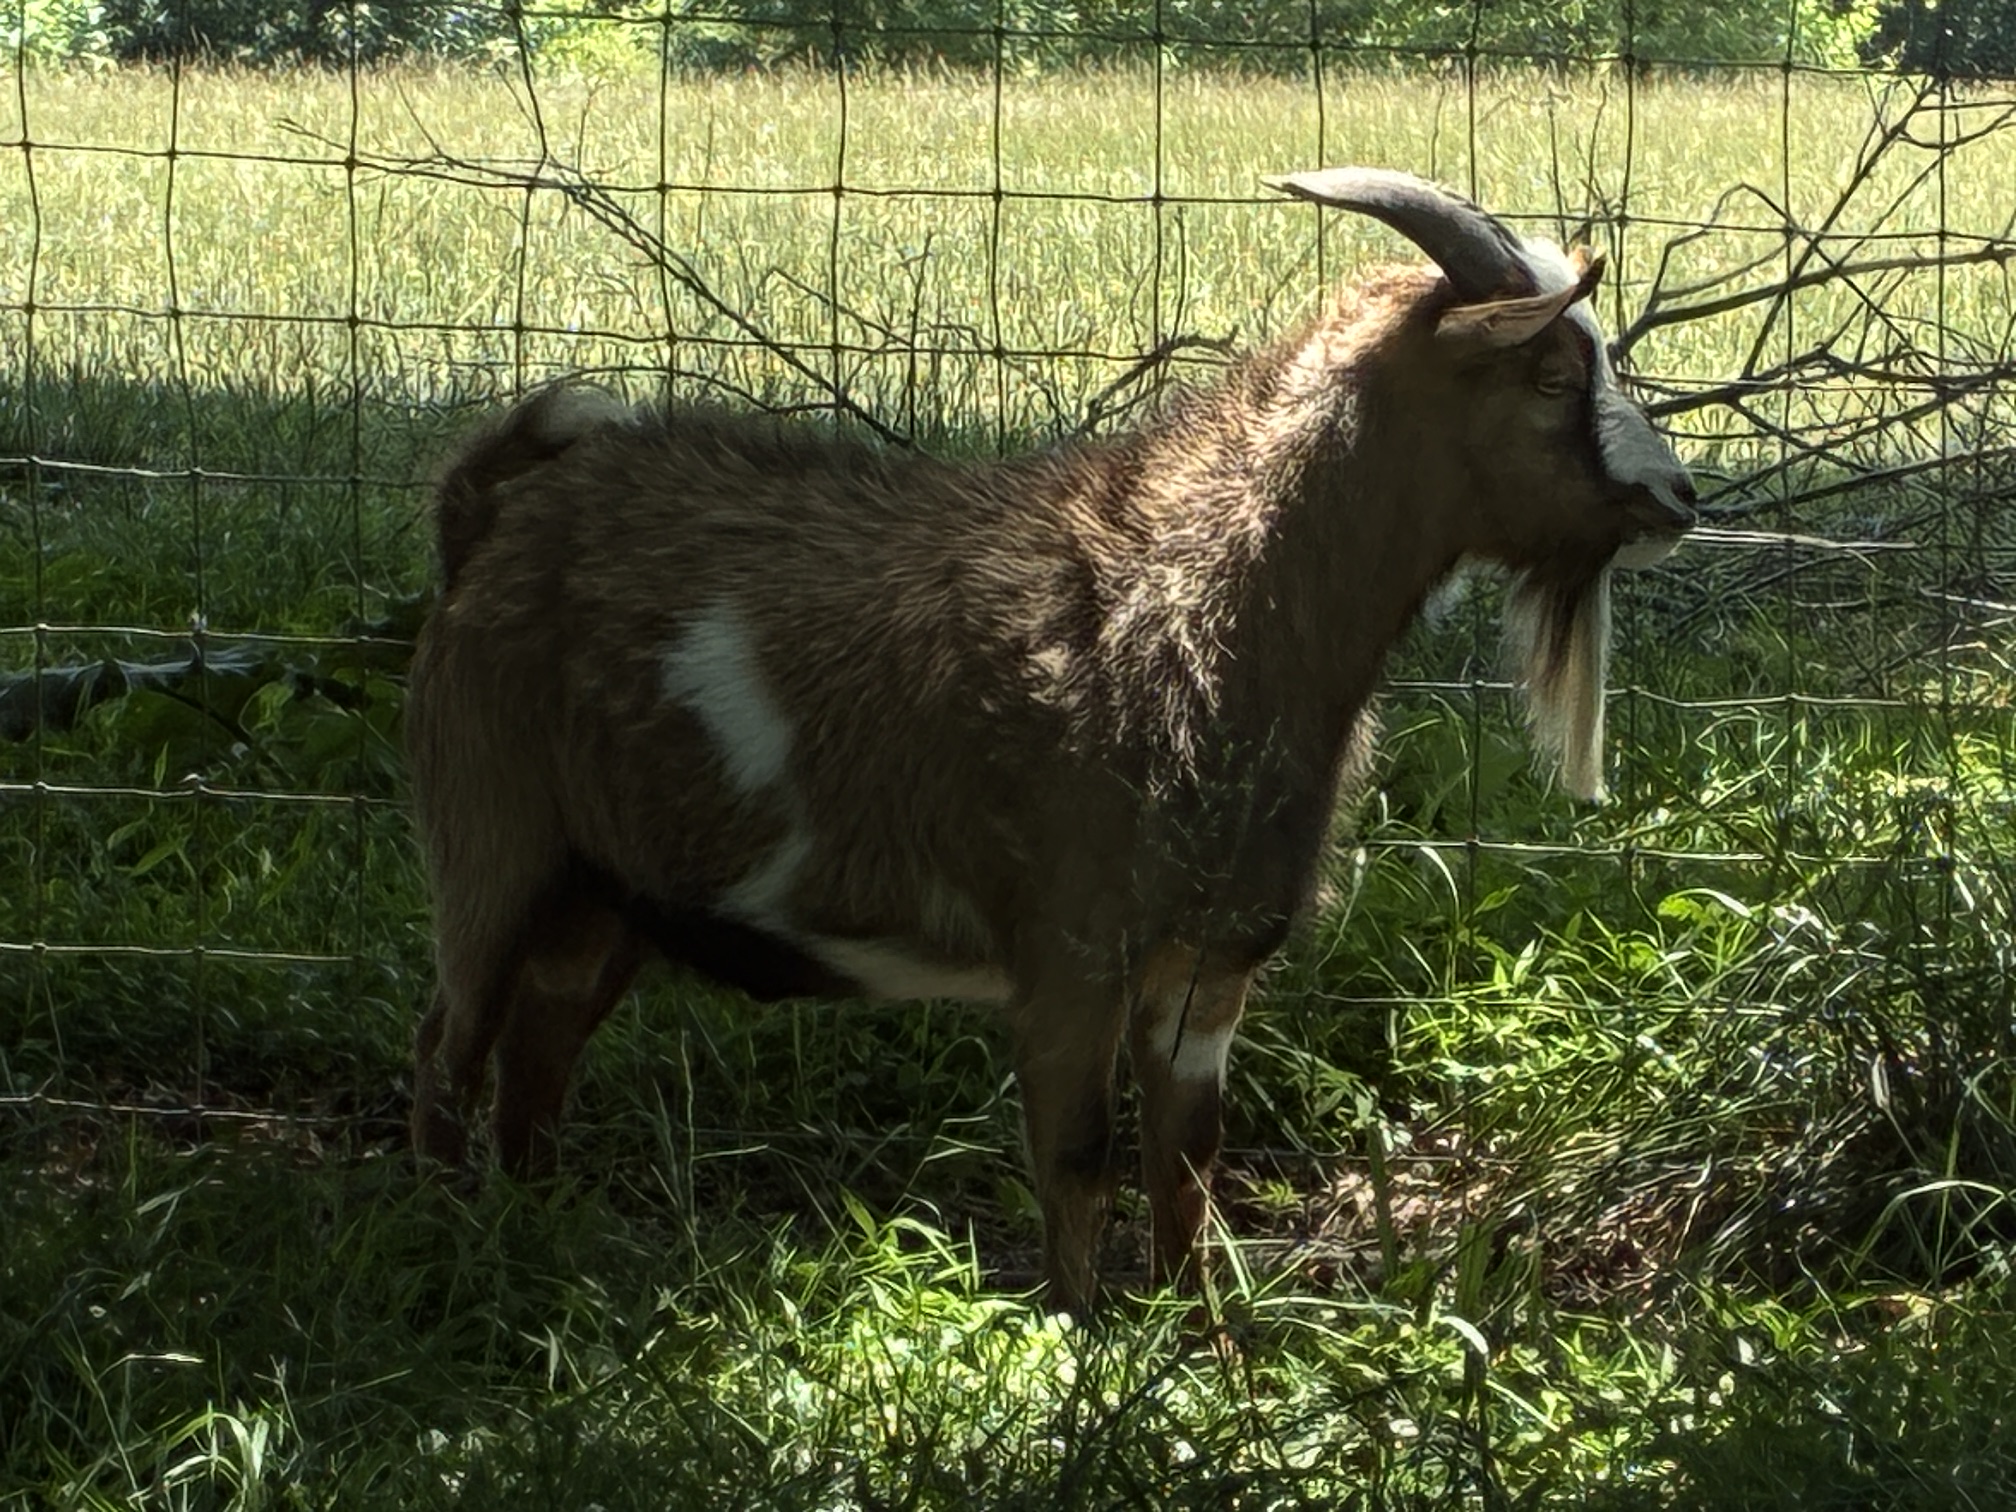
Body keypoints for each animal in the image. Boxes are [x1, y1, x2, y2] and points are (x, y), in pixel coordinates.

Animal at [406, 168, 1696, 1314]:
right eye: (1550, 371)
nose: (1679, 500)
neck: (1192, 597)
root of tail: (486, 523)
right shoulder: (1072, 954)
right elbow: (1078, 1163)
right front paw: (1079, 1358)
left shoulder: (1207, 965)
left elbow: (1187, 1167)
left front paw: (1198, 1354)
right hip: (491, 838)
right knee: (449, 1047)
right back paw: (448, 1256)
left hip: (604, 891)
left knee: (538, 1050)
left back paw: (536, 1235)